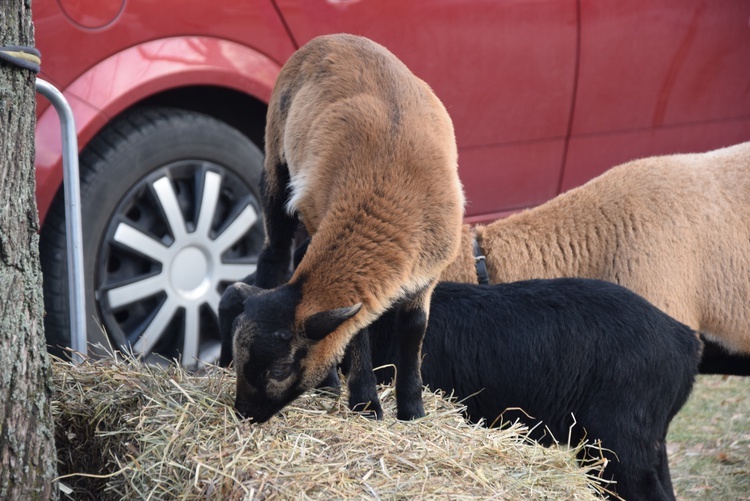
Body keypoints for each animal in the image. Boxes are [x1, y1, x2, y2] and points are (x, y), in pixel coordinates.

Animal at [223, 32, 468, 422]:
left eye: (279, 370)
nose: (245, 413)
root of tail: (334, 38)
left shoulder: (429, 272)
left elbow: (414, 329)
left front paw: (412, 408)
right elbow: (358, 330)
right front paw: (367, 403)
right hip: (276, 160)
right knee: (275, 252)